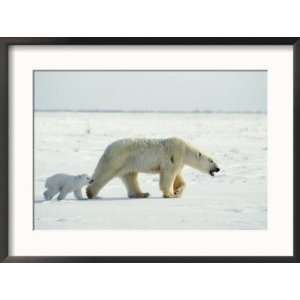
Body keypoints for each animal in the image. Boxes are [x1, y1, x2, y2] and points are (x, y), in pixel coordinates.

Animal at [85, 138, 219, 199]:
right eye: (211, 160)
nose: (218, 168)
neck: (185, 150)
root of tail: (107, 148)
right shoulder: (174, 156)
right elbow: (168, 175)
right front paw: (170, 194)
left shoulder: (179, 162)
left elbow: (178, 177)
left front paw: (177, 192)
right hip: (117, 159)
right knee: (104, 173)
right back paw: (91, 193)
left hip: (128, 164)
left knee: (130, 177)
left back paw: (142, 194)